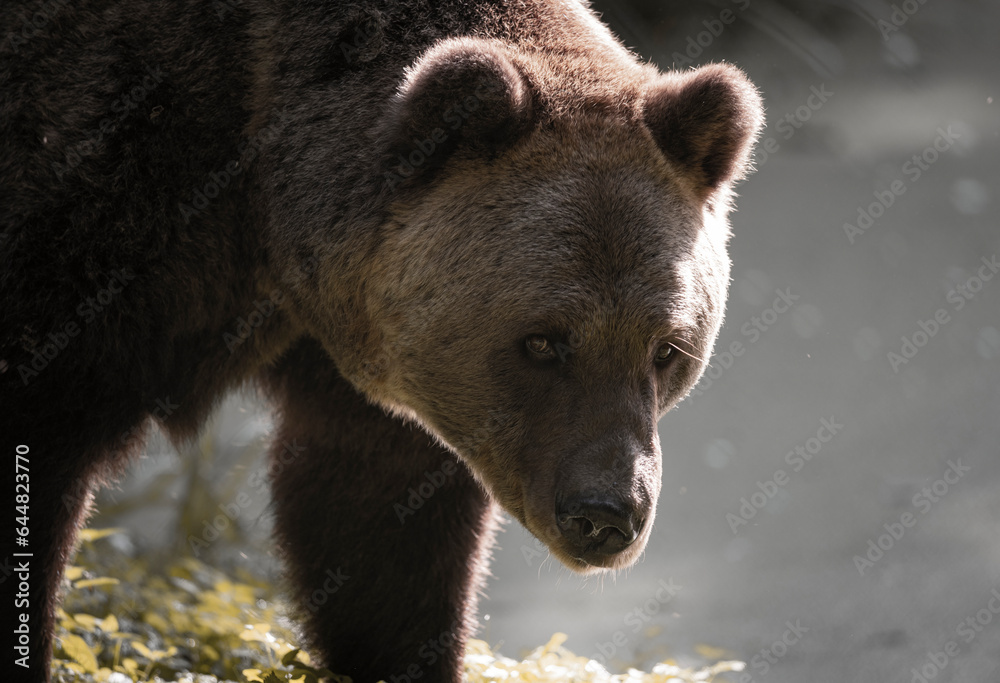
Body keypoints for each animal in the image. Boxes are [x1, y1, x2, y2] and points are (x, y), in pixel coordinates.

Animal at [0, 0, 763, 681]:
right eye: (543, 342)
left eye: (666, 349)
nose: (606, 514)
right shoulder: (95, 215)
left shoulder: (364, 355)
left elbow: (379, 532)